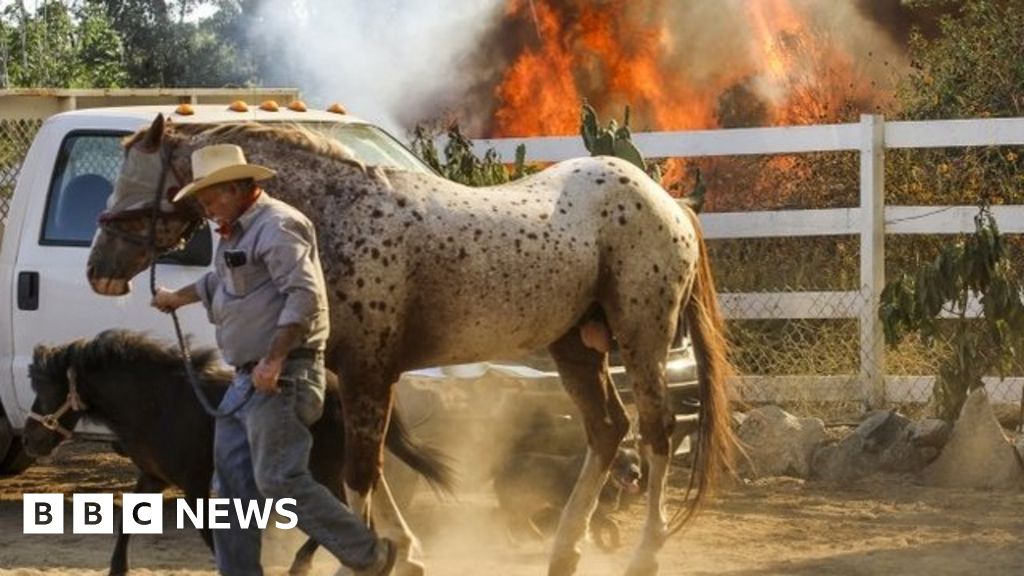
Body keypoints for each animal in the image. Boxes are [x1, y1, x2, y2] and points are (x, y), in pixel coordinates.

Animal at [24, 327, 452, 573]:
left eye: (45, 389)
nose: (29, 439)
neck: (156, 403)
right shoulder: (152, 477)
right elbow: (127, 525)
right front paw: (117, 569)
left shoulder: (195, 484)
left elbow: (210, 536)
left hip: (322, 469)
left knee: (346, 511)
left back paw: (315, 562)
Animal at [86, 113, 737, 573]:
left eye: (132, 185)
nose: (100, 270)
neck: (335, 218)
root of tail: (668, 202)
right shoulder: (351, 378)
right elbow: (361, 470)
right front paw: (403, 550)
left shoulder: (371, 372)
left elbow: (361, 472)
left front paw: (378, 556)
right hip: (575, 346)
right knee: (606, 430)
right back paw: (564, 552)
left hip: (643, 337)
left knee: (656, 433)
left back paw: (643, 554)